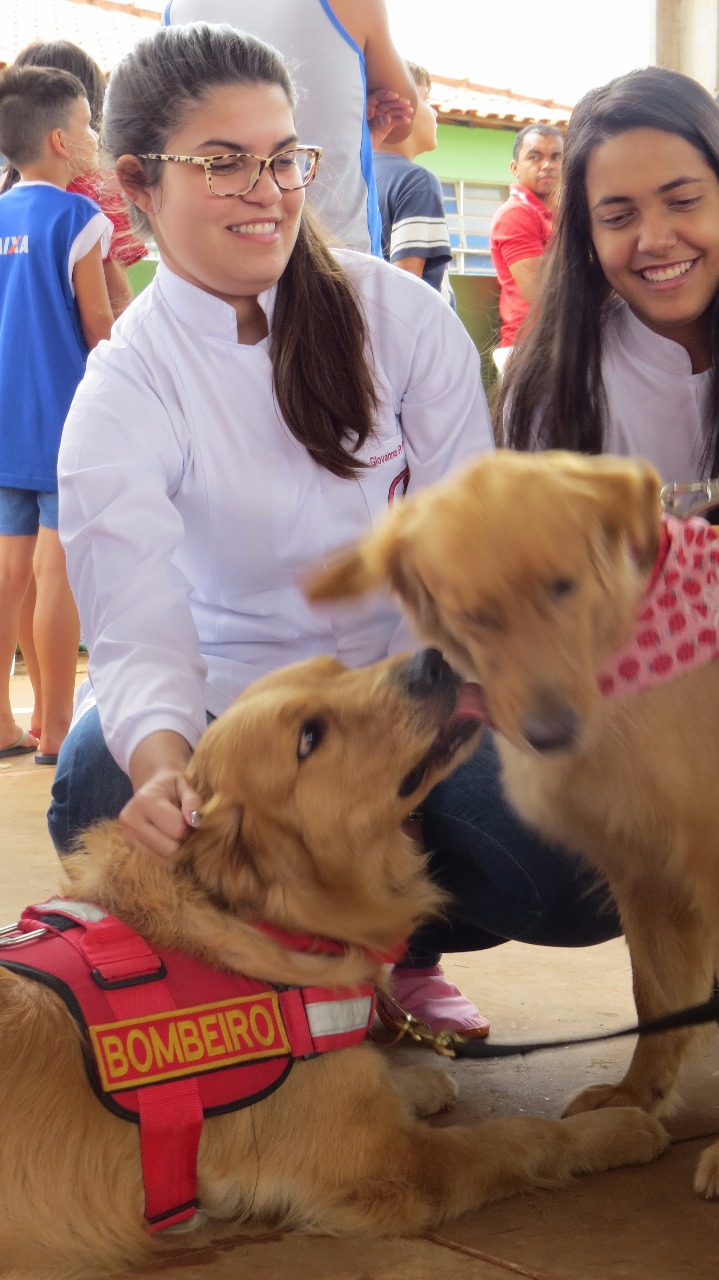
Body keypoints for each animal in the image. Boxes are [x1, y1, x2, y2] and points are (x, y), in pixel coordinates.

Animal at [0, 650, 666, 1278]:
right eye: (309, 738)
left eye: (339, 669)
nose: (433, 660)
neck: (265, 923)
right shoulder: (391, 1166)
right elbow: (523, 1134)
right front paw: (617, 1129)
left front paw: (417, 1081)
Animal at [305, 449, 719, 1197]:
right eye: (474, 615)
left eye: (562, 586)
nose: (550, 734)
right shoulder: (645, 873)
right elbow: (655, 999)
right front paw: (635, 1096)